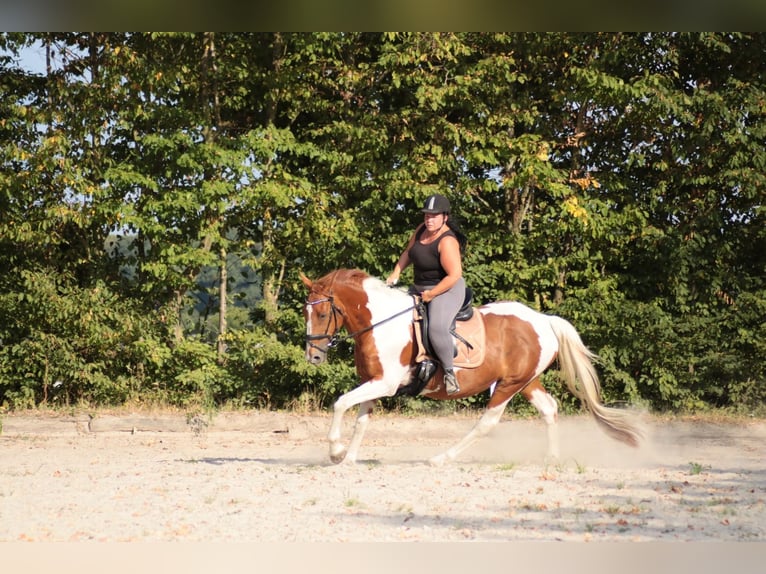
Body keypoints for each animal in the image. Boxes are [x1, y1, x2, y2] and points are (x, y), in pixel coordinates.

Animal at [300, 268, 643, 466]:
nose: (313, 357)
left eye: (321, 314)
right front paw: (347, 458)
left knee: (487, 423)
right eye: (306, 312)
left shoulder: (385, 383)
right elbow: (360, 420)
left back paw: (442, 458)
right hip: (526, 381)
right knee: (549, 408)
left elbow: (340, 403)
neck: (381, 322)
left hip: (508, 386)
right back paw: (551, 457)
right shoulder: (373, 381)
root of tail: (544, 320)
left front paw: (335, 450)